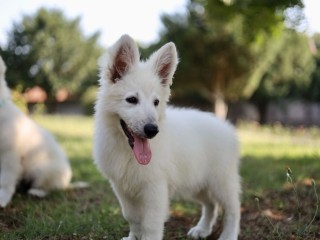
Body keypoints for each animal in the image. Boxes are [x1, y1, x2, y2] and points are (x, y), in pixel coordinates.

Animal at [0, 56, 85, 208]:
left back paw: (36, 192)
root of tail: (66, 184)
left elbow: (5, 180)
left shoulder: (9, 155)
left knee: (50, 188)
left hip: (42, 169)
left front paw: (2, 199)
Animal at [92, 34, 240, 239]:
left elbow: (150, 224)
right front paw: (133, 237)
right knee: (210, 204)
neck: (127, 151)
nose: (152, 130)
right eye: (132, 100)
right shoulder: (122, 188)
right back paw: (202, 229)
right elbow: (132, 217)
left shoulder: (155, 189)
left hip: (220, 181)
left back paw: (228, 234)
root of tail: (225, 126)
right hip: (196, 182)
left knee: (233, 209)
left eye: (156, 102)